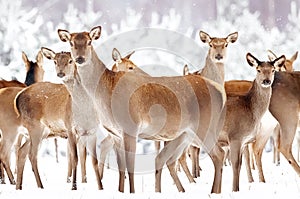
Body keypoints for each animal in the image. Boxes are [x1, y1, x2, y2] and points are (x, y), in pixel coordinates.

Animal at [58, 25, 227, 194]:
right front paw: (120, 191)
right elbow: (121, 168)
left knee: (219, 154)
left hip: (205, 125)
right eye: (71, 43)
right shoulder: (116, 134)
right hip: (187, 133)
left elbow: (130, 167)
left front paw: (132, 192)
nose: (80, 59)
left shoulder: (130, 127)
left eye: (89, 42)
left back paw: (213, 192)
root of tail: (220, 91)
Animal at [218, 52, 286, 191]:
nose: (266, 81)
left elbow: (241, 164)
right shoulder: (235, 136)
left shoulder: (245, 140)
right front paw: (235, 190)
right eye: (258, 69)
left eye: (273, 70)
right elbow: (236, 164)